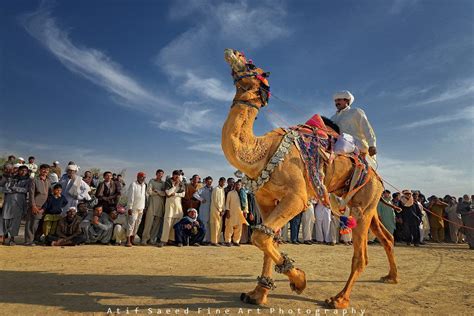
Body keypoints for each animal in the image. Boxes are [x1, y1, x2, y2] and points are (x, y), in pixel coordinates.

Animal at [221, 49, 396, 308]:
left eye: (252, 64)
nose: (231, 52)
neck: (263, 151)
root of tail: (378, 177)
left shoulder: (297, 197)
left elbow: (260, 235)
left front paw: (299, 281)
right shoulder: (264, 200)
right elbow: (268, 238)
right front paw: (258, 293)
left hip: (363, 204)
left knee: (361, 256)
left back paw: (339, 299)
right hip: (368, 205)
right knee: (387, 237)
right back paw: (391, 277)